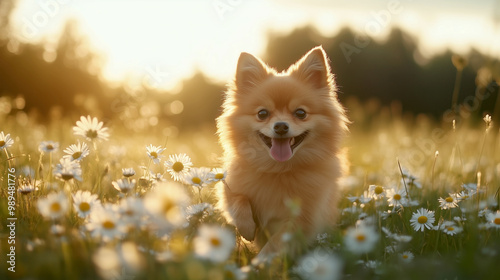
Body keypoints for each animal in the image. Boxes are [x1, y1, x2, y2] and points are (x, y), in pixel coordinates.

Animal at [215, 46, 348, 258]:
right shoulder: (228, 189)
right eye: (262, 113)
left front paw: (258, 263)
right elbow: (237, 201)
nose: (280, 126)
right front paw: (247, 228)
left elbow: (274, 246)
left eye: (300, 113)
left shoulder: (301, 220)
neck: (278, 170)